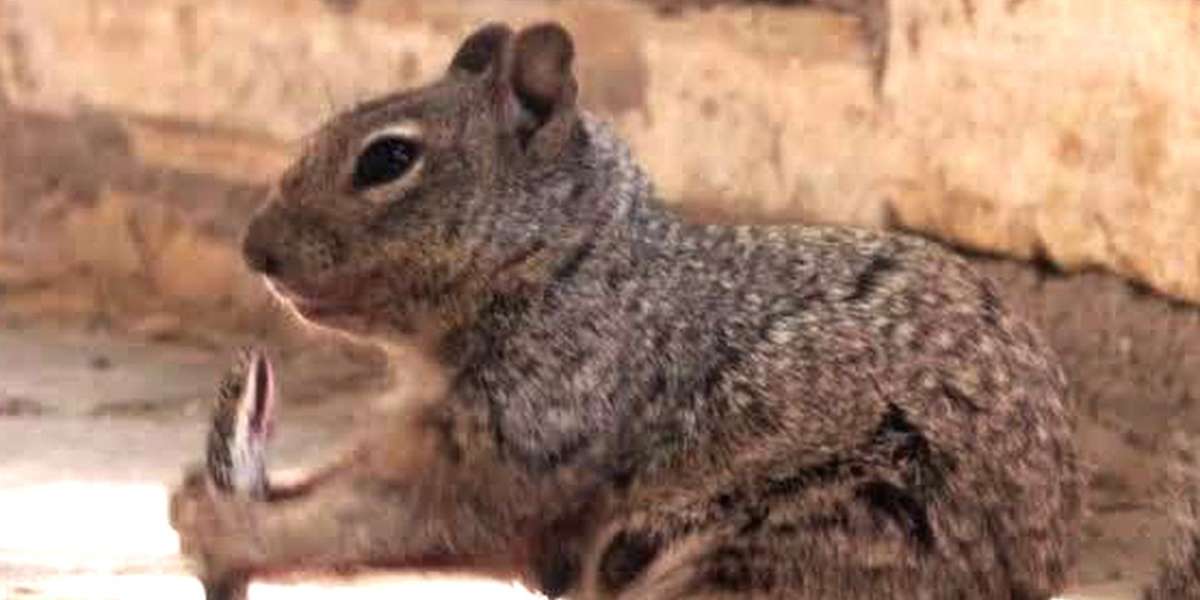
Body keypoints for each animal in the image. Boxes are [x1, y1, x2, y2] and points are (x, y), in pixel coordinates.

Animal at [170, 22, 1085, 599]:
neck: (568, 270)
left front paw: (224, 528)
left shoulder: (533, 439)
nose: (255, 250)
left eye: (388, 160)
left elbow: (388, 520)